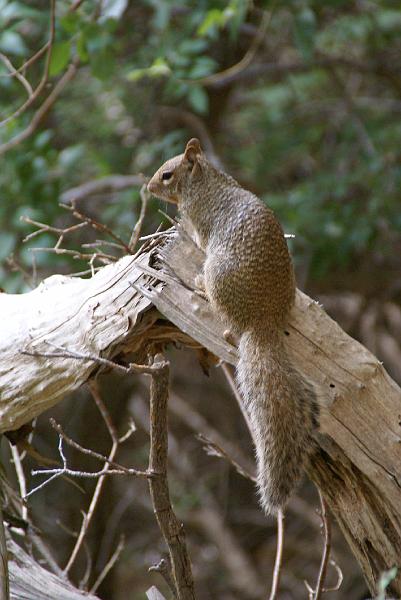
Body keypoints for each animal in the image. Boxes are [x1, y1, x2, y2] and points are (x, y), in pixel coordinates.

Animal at [147, 138, 318, 512]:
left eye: (167, 175)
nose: (148, 187)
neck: (207, 181)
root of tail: (264, 319)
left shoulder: (200, 220)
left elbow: (194, 235)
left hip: (217, 272)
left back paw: (200, 287)